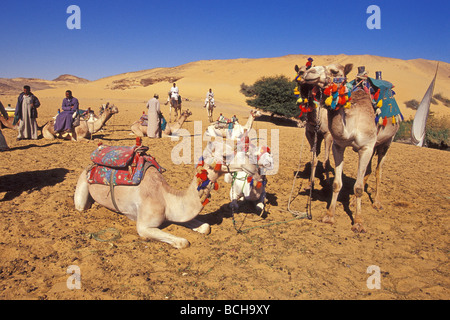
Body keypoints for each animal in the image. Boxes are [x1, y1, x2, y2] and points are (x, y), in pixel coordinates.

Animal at [298, 62, 400, 232]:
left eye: (334, 71)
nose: (309, 73)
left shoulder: (366, 148)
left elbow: (358, 187)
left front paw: (358, 222)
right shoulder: (339, 146)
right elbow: (337, 183)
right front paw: (329, 216)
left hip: (387, 142)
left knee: (378, 171)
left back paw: (377, 203)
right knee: (369, 170)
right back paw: (352, 202)